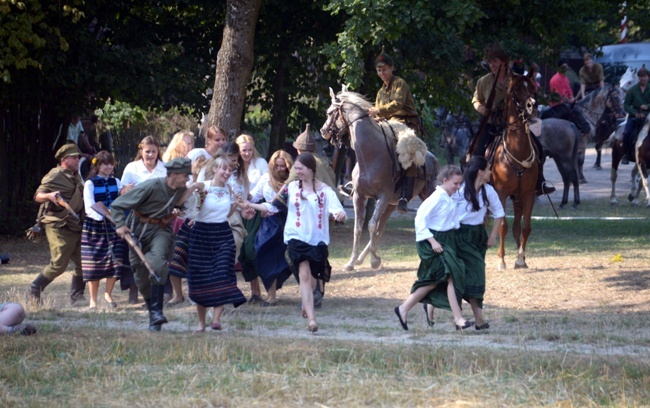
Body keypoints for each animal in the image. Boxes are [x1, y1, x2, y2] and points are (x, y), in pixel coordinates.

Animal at [318, 87, 436, 270]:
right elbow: (359, 228)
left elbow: (371, 225)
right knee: (381, 229)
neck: (371, 155)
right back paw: (361, 258)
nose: (323, 131)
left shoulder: (383, 197)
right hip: (392, 205)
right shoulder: (359, 196)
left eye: (330, 112)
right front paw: (352, 262)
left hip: (423, 195)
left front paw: (373, 260)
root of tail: (431, 157)